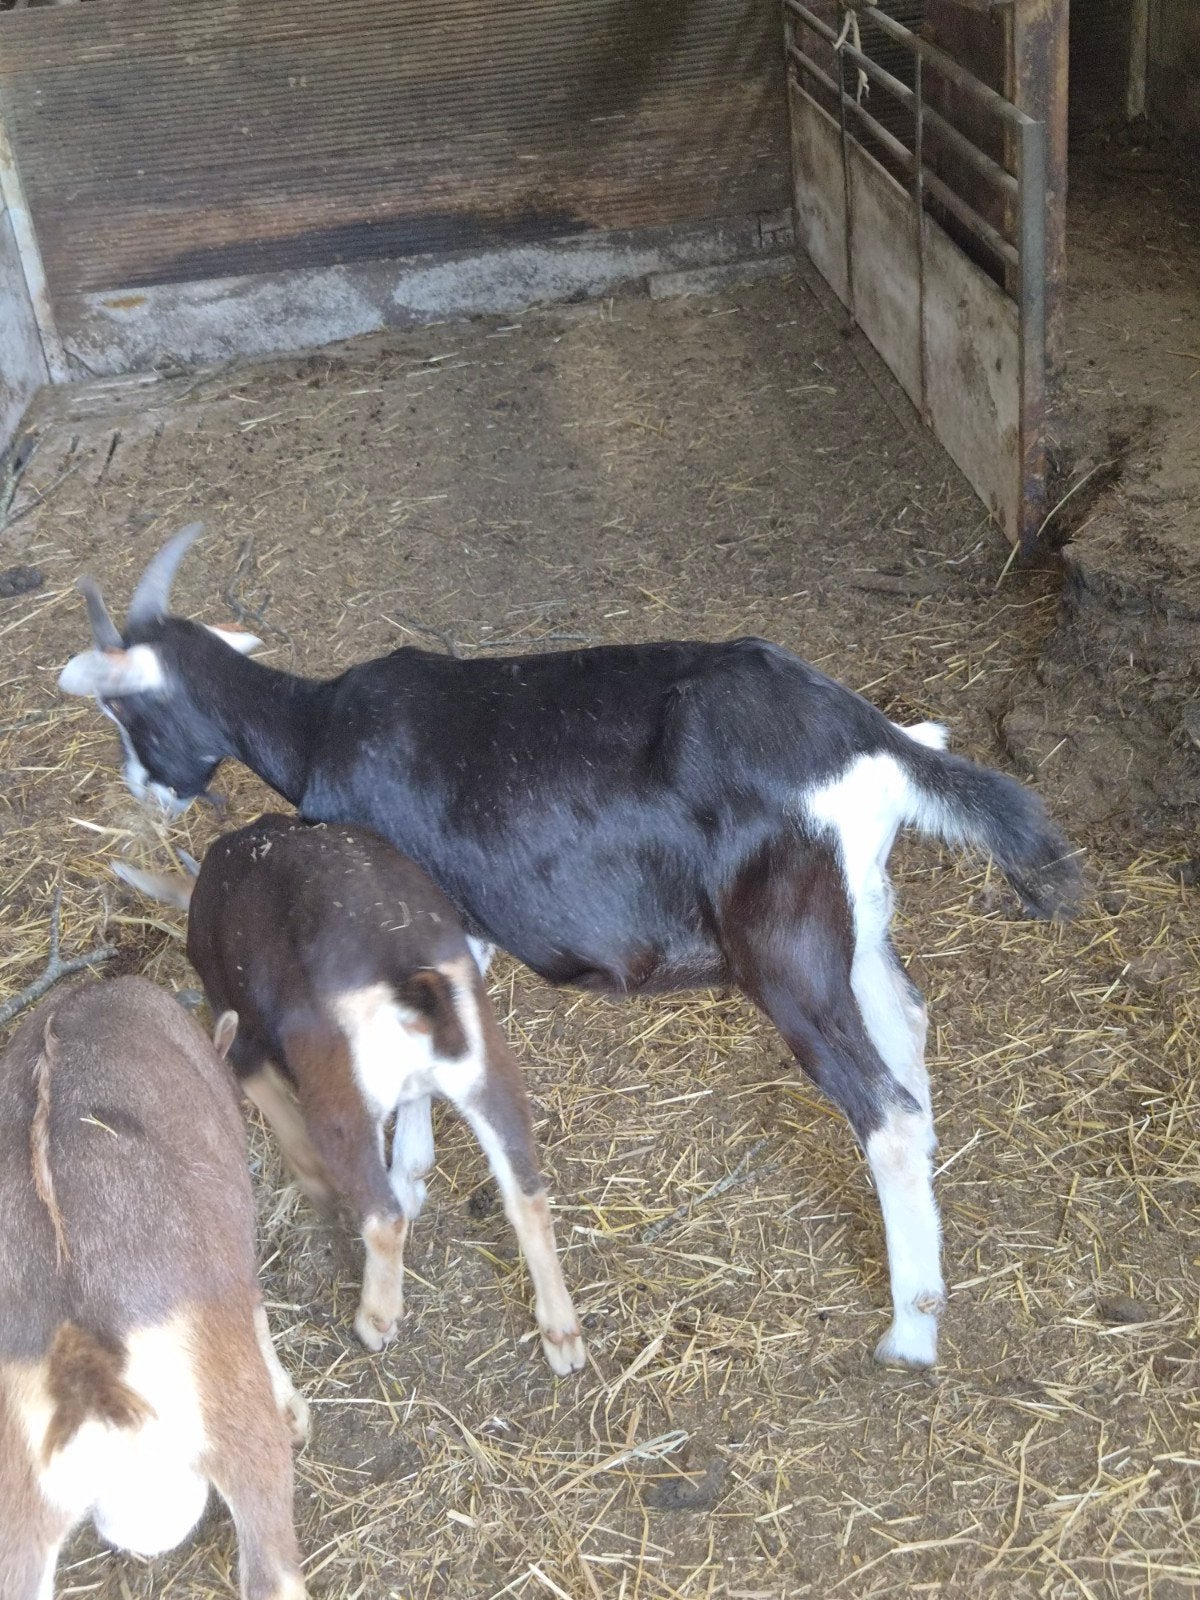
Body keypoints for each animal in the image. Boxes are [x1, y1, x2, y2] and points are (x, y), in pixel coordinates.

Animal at [115, 813, 585, 1374]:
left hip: (343, 1105)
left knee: (383, 1217)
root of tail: (406, 975)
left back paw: (376, 1318)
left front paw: (313, 1178)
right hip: (489, 1076)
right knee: (527, 1194)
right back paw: (562, 1334)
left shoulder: (240, 1034)